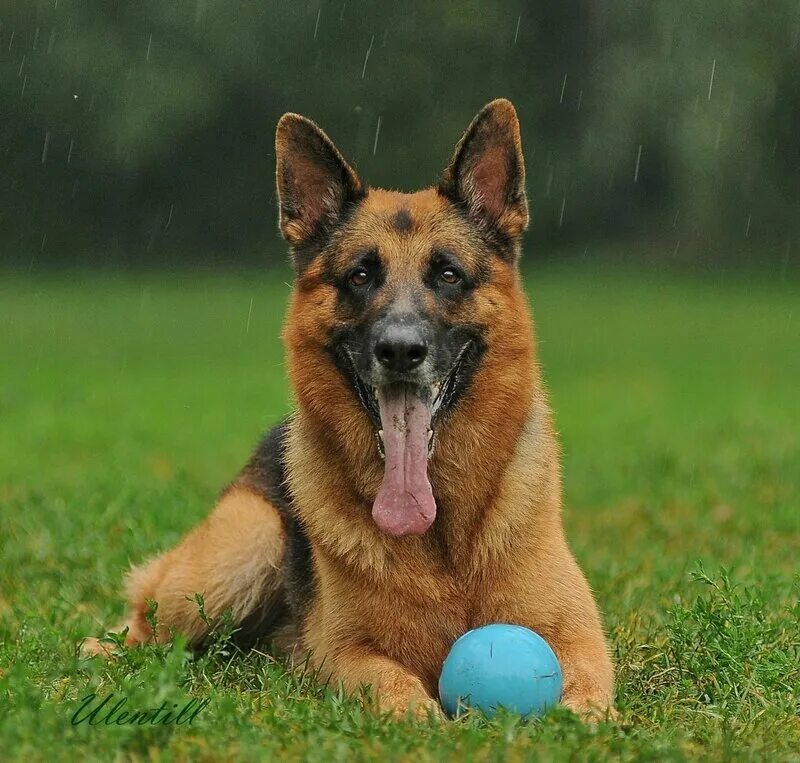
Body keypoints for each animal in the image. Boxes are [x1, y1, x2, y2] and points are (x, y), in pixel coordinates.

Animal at [81, 100, 616, 724]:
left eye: (448, 274)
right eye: (361, 275)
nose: (401, 350)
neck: (442, 544)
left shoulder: (580, 638)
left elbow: (586, 689)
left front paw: (578, 721)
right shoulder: (345, 652)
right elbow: (391, 682)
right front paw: (423, 720)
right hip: (247, 543)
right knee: (143, 626)